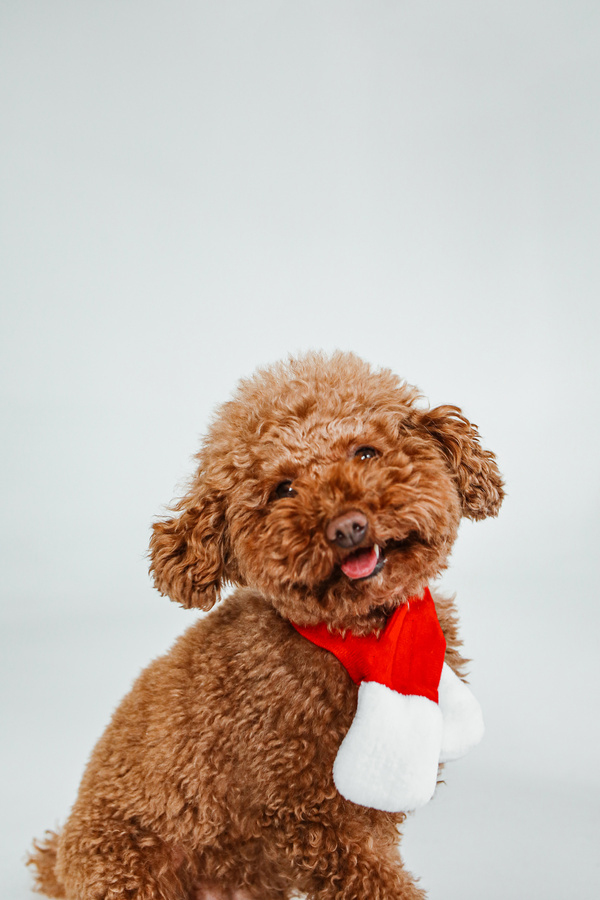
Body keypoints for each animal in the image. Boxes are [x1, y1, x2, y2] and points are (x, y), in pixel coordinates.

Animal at [30, 354, 504, 900]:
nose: (348, 526)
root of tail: (60, 863)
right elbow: (368, 877)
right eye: (284, 489)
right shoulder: (305, 807)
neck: (355, 638)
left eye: (365, 452)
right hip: (127, 869)